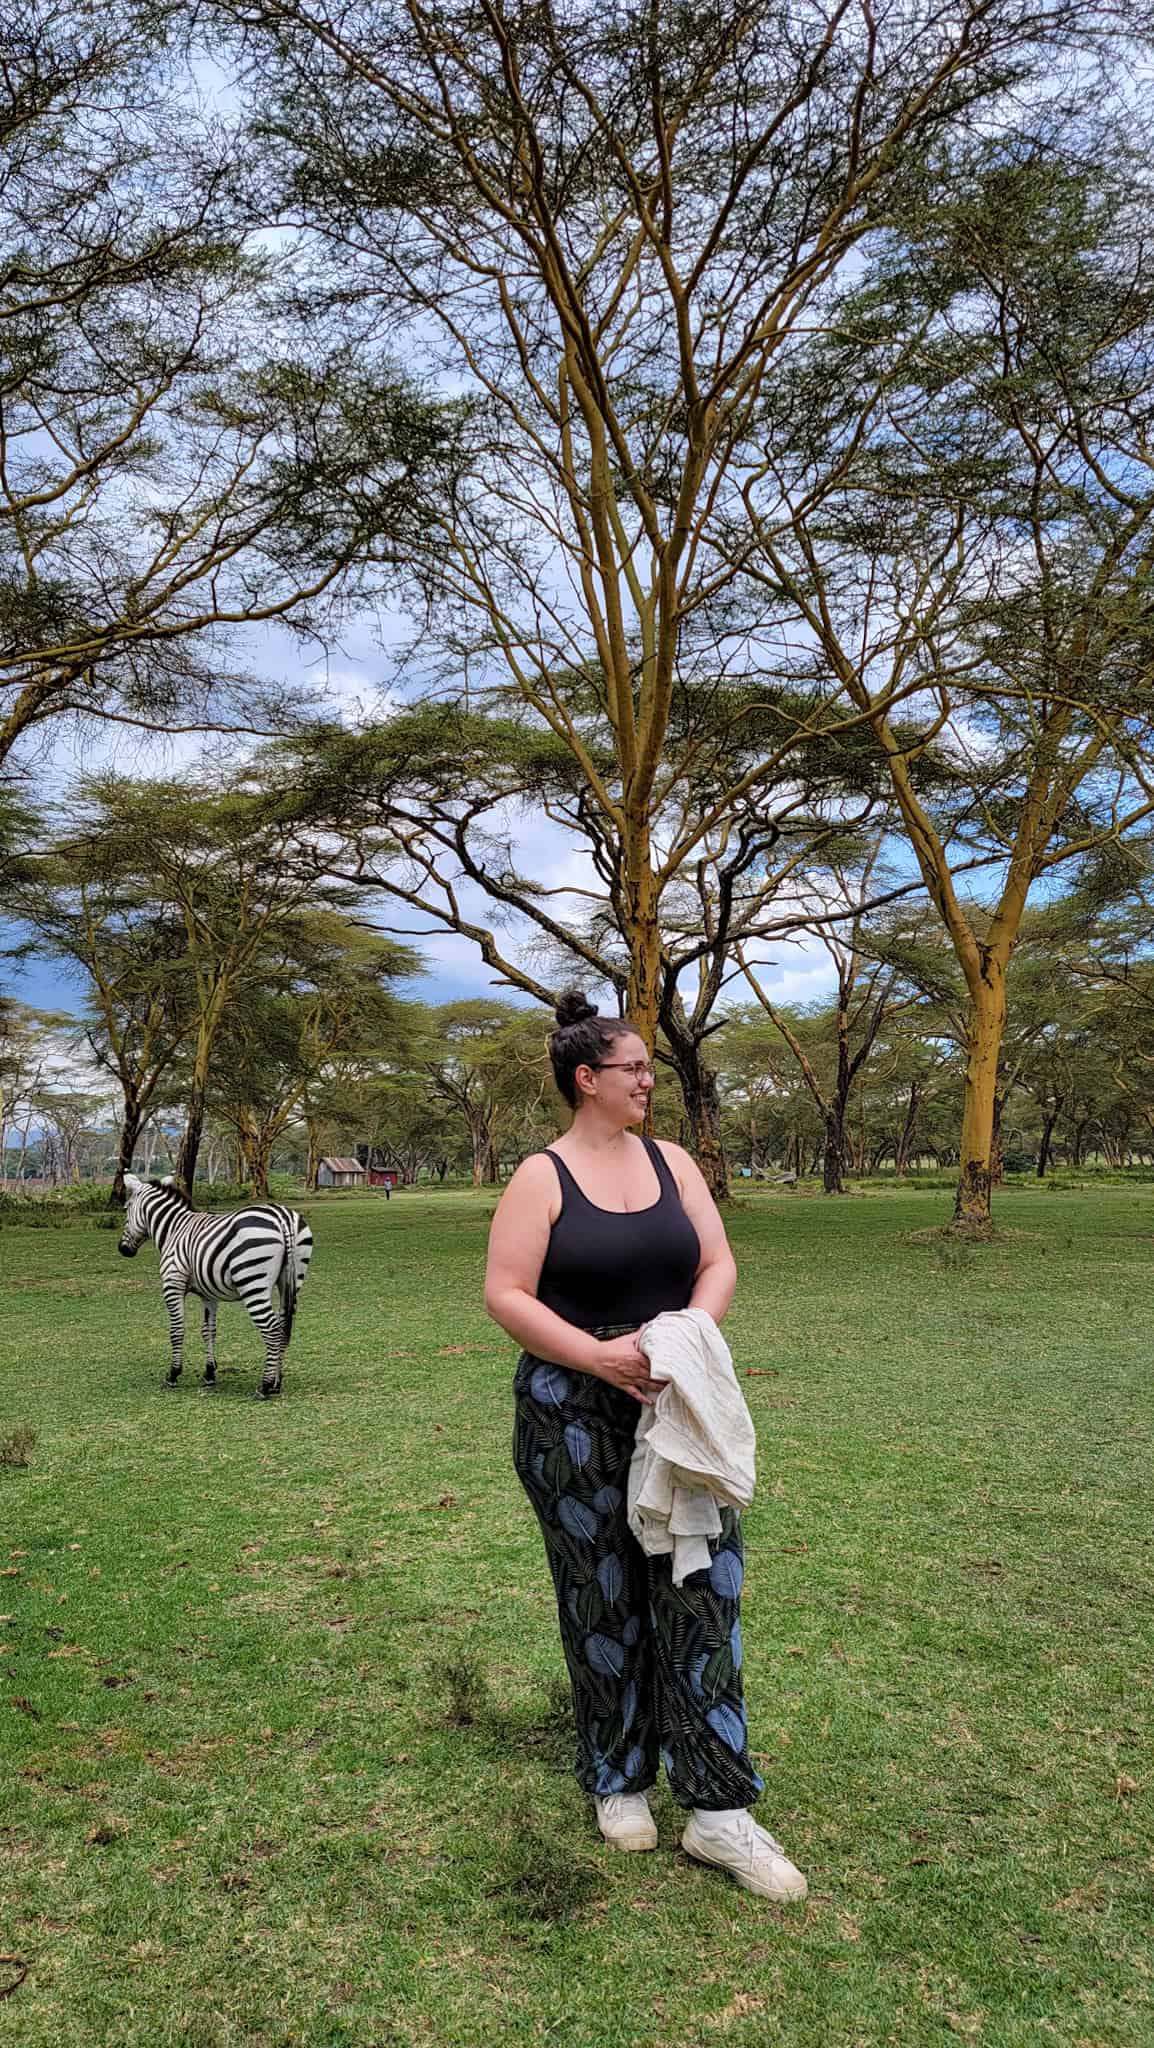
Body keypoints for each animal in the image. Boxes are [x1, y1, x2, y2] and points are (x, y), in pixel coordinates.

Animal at [119, 1179, 315, 1400]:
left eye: (125, 1209)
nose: (123, 1249)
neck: (173, 1229)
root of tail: (284, 1218)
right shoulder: (208, 1294)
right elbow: (208, 1331)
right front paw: (209, 1373)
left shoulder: (172, 1284)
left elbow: (176, 1330)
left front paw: (173, 1374)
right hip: (292, 1281)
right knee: (282, 1328)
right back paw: (276, 1382)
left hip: (252, 1283)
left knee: (272, 1330)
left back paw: (264, 1386)